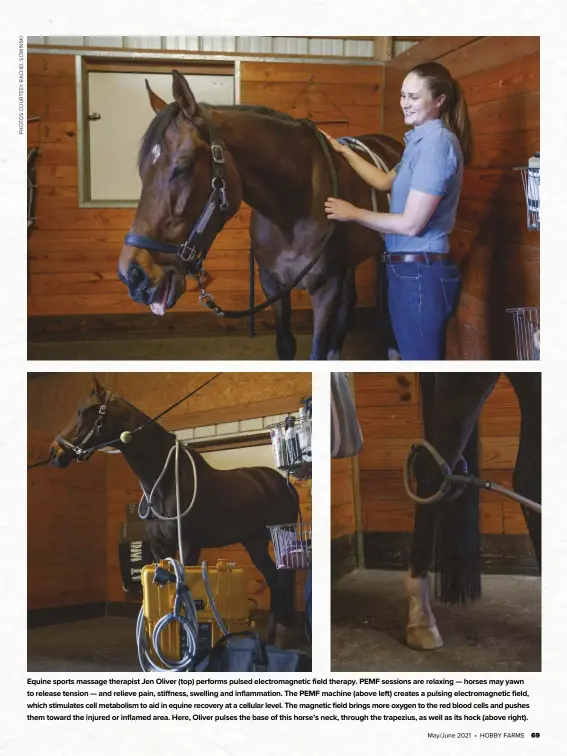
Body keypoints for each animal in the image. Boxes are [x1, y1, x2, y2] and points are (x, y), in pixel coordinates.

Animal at [50, 378, 300, 636]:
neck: (167, 480)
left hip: (282, 537)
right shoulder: (160, 547)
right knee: (274, 580)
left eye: (82, 411)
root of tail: (281, 482)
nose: (54, 452)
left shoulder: (188, 545)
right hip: (255, 542)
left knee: (282, 580)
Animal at [116, 70, 404, 360]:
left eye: (183, 166)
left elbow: (317, 353)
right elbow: (286, 344)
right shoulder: (273, 285)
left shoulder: (325, 289)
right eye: (142, 171)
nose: (134, 275)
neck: (294, 208)